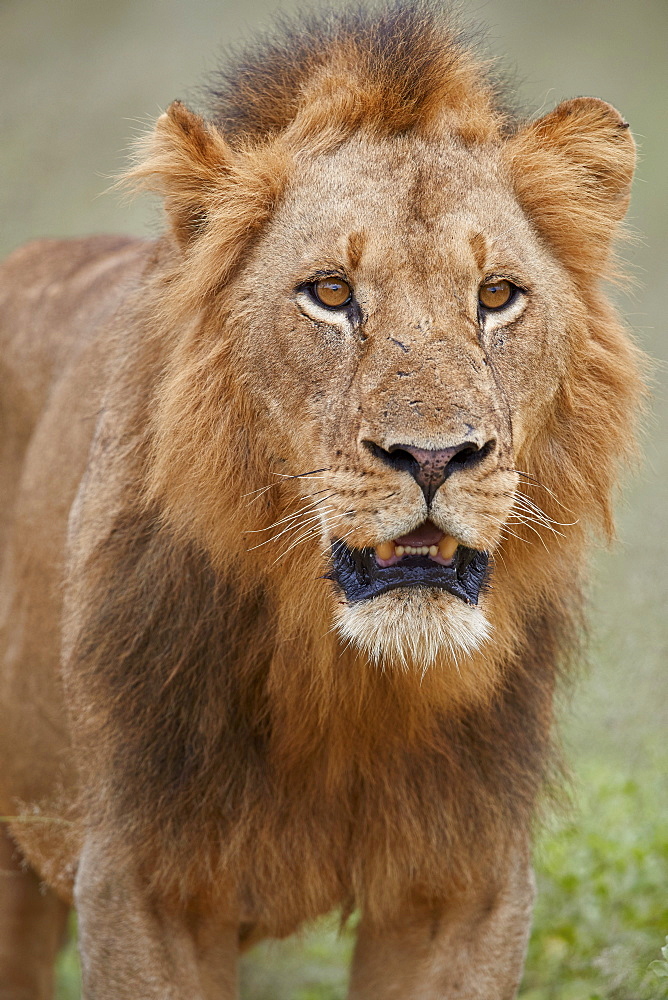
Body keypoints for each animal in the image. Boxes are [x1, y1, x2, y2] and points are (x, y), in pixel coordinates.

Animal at [0, 1, 640, 1000]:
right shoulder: (142, 881)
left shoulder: (467, 885)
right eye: (331, 294)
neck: (346, 682)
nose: (435, 455)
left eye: (497, 295)